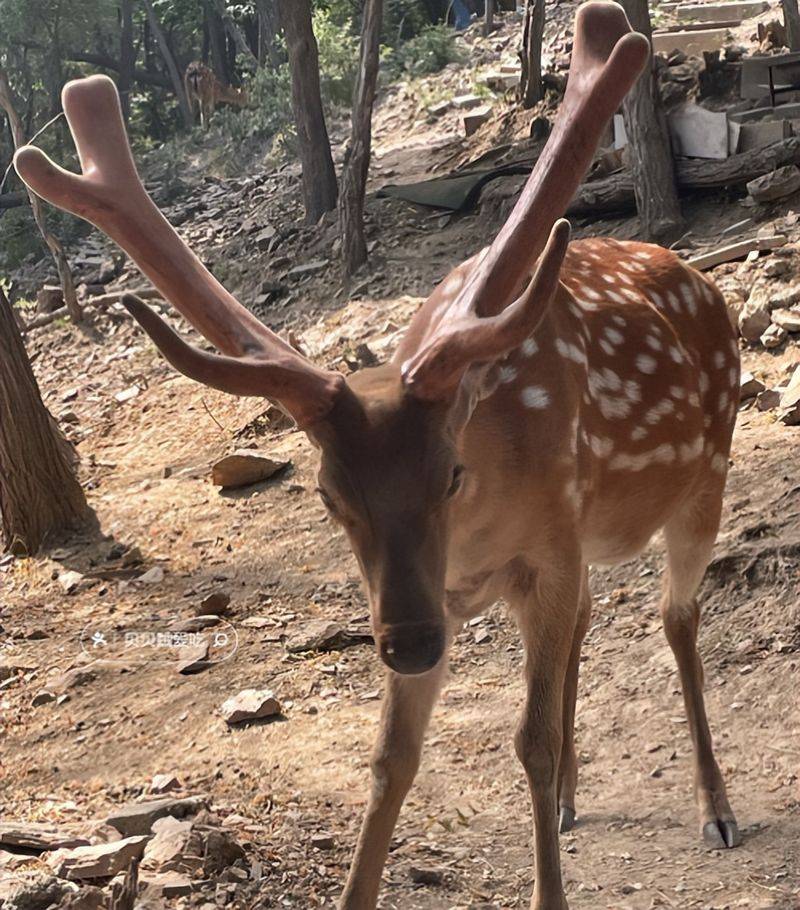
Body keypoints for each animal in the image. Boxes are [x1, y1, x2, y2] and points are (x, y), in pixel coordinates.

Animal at [14, 3, 742, 906]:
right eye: (329, 494)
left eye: (452, 473)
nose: (411, 645)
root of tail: (701, 280)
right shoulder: (444, 590)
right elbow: (392, 760)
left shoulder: (544, 550)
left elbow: (528, 741)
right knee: (590, 619)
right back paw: (577, 797)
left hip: (707, 475)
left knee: (677, 616)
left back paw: (715, 808)